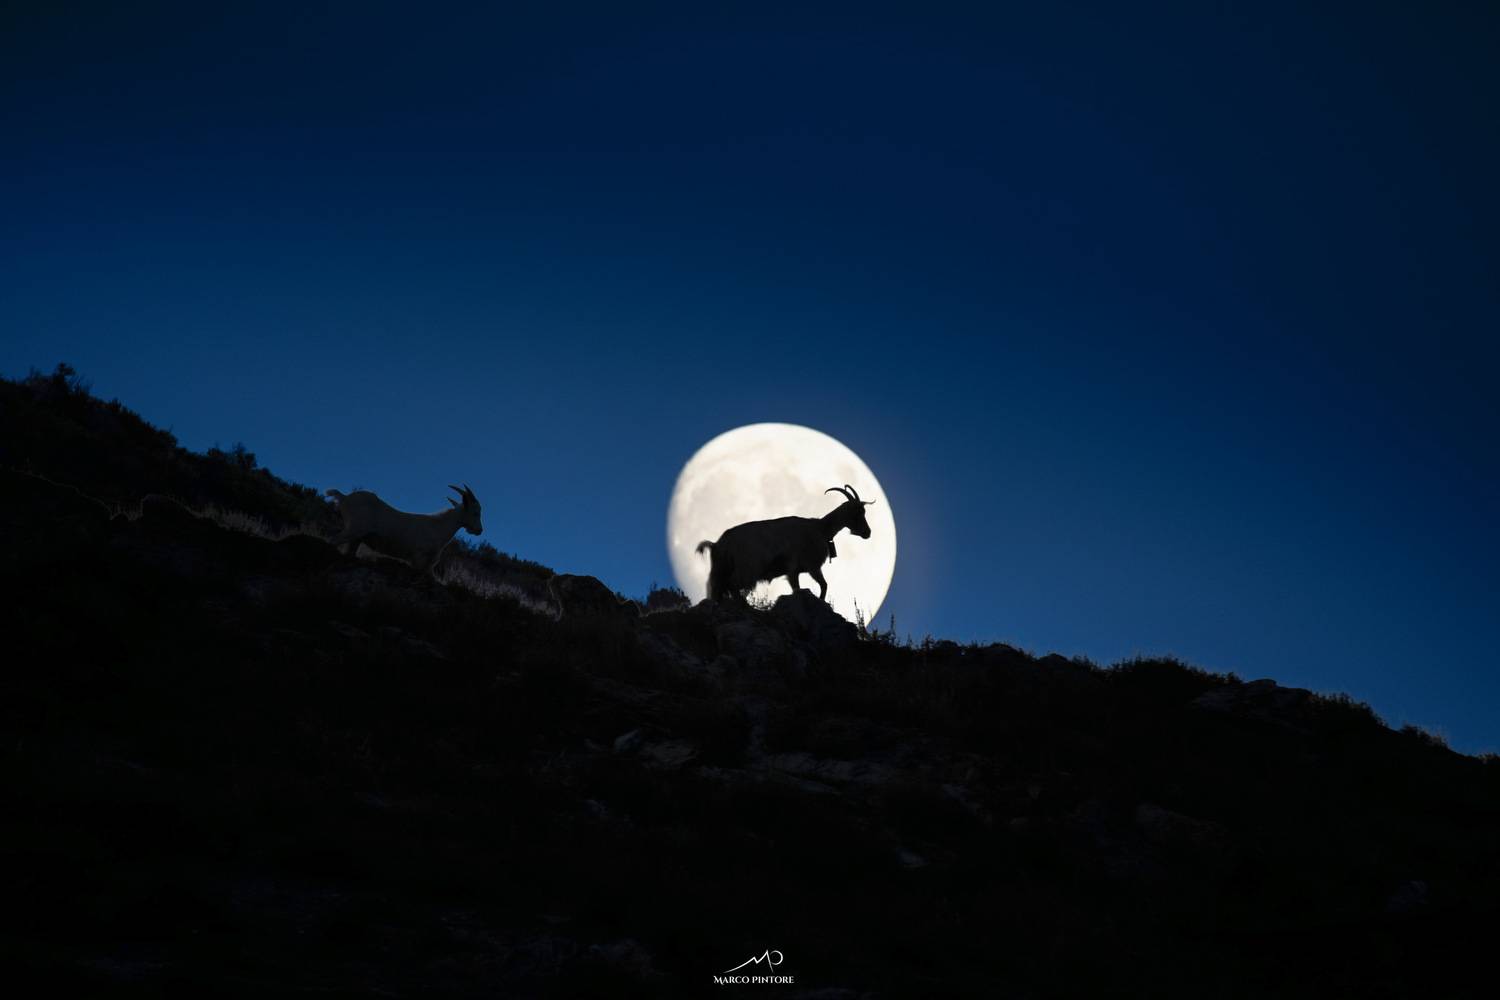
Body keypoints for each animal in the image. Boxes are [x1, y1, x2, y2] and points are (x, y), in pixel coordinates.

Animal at [325, 483, 482, 575]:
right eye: (476, 512)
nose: (479, 530)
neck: (438, 526)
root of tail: (344, 498)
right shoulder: (418, 558)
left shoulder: (428, 566)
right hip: (353, 529)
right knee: (332, 540)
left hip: (356, 538)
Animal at [696, 484, 874, 605]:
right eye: (857, 512)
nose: (868, 533)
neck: (820, 529)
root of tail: (717, 544)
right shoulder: (803, 567)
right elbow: (814, 587)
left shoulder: (801, 570)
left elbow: (821, 585)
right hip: (745, 569)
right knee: (732, 586)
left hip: (723, 570)